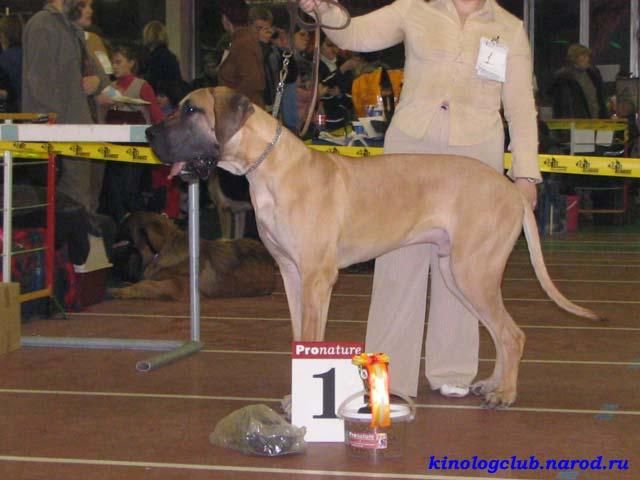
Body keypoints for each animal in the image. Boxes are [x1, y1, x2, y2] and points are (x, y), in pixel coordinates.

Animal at [108, 211, 276, 301]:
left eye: (125, 225)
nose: (112, 230)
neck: (162, 250)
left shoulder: (178, 286)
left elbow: (148, 285)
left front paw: (121, 291)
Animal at [146, 86, 600, 407]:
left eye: (191, 110)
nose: (148, 131)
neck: (269, 167)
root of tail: (514, 191)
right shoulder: (291, 275)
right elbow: (299, 337)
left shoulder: (316, 279)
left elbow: (312, 337)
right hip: (458, 274)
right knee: (500, 332)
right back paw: (491, 383)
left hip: (474, 272)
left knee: (513, 334)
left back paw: (505, 393)